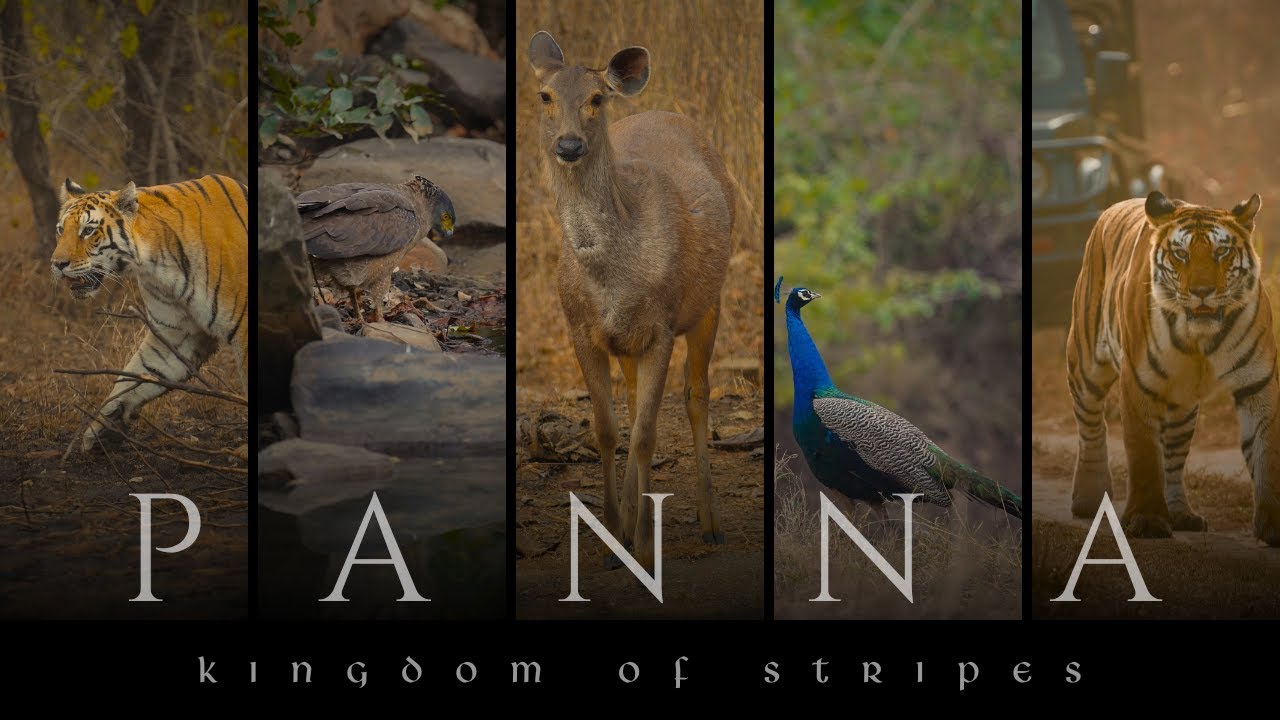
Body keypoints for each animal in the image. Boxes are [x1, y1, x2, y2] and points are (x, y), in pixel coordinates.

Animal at [50, 174, 248, 454]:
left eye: (88, 230)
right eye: (60, 229)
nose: (57, 264)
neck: (156, 263)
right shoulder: (178, 334)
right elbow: (133, 377)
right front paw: (101, 428)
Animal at [1066, 190, 1280, 546]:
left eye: (1222, 252)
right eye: (1181, 254)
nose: (1202, 292)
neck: (1201, 339)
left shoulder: (1259, 382)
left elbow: (1267, 450)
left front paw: (1274, 523)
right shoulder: (1138, 380)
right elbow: (1143, 452)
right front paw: (1147, 519)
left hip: (1183, 402)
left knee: (1174, 456)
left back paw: (1181, 513)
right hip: (1085, 366)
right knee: (1091, 425)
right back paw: (1090, 498)